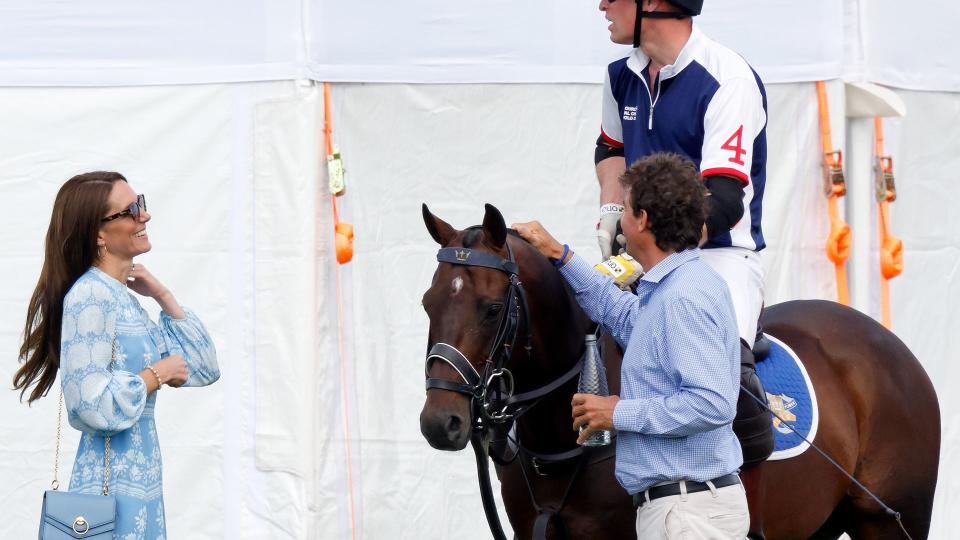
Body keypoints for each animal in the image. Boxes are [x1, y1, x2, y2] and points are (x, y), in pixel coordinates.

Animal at [418, 205, 936, 536]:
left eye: (490, 309)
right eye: (427, 303)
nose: (439, 423)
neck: (560, 445)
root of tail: (888, 341)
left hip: (892, 520)